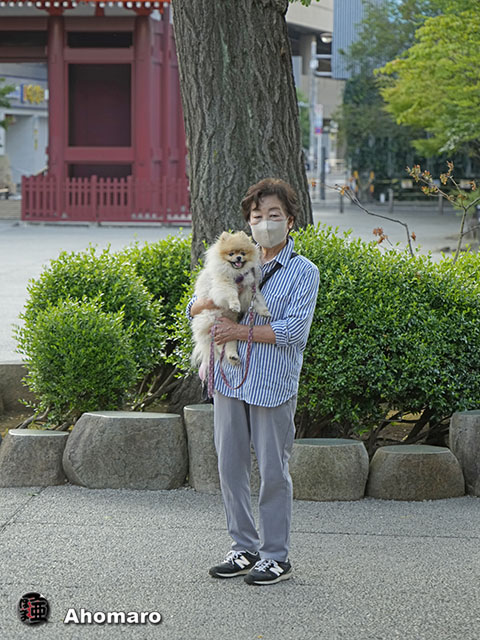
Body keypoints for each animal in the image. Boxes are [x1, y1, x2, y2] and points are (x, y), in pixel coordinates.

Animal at [191, 231, 270, 378]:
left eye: (243, 253)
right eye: (231, 253)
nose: (238, 257)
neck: (237, 274)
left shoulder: (250, 288)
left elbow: (258, 301)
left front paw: (265, 312)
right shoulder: (223, 284)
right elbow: (231, 294)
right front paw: (235, 305)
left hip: (229, 328)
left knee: (228, 343)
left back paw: (233, 357)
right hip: (213, 321)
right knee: (219, 344)